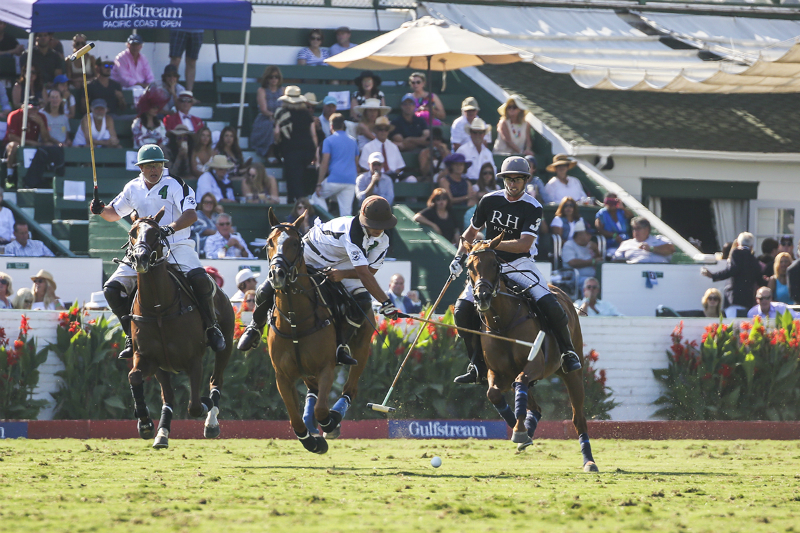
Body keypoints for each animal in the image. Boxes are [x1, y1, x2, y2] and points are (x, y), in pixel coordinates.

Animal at [123, 209, 233, 448]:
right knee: (169, 397)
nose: (140, 258)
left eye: (156, 233)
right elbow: (134, 376)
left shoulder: (194, 360)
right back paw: (162, 434)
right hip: (163, 368)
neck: (158, 309)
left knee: (216, 380)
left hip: (227, 344)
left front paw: (205, 405)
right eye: (132, 232)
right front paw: (144, 422)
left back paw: (211, 422)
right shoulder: (148, 358)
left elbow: (194, 406)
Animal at [264, 208, 374, 454]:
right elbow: (294, 419)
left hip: (362, 349)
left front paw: (330, 424)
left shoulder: (326, 366)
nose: (277, 274)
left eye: (295, 243)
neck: (295, 320)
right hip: (305, 370)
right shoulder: (282, 375)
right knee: (312, 392)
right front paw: (311, 441)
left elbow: (323, 410)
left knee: (350, 389)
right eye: (269, 242)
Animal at [462, 235, 600, 472]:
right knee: (532, 402)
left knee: (578, 418)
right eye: (470, 266)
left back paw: (589, 461)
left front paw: (519, 430)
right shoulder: (497, 372)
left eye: (495, 264)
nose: (482, 296)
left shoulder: (535, 364)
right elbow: (494, 393)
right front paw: (519, 430)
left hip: (572, 372)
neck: (501, 322)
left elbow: (520, 382)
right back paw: (528, 428)